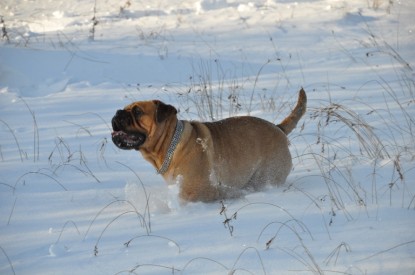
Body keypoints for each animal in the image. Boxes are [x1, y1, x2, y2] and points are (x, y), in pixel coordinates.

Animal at [112, 89, 308, 203]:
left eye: (137, 111)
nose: (117, 112)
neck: (169, 145)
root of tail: (278, 128)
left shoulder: (196, 191)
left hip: (267, 176)